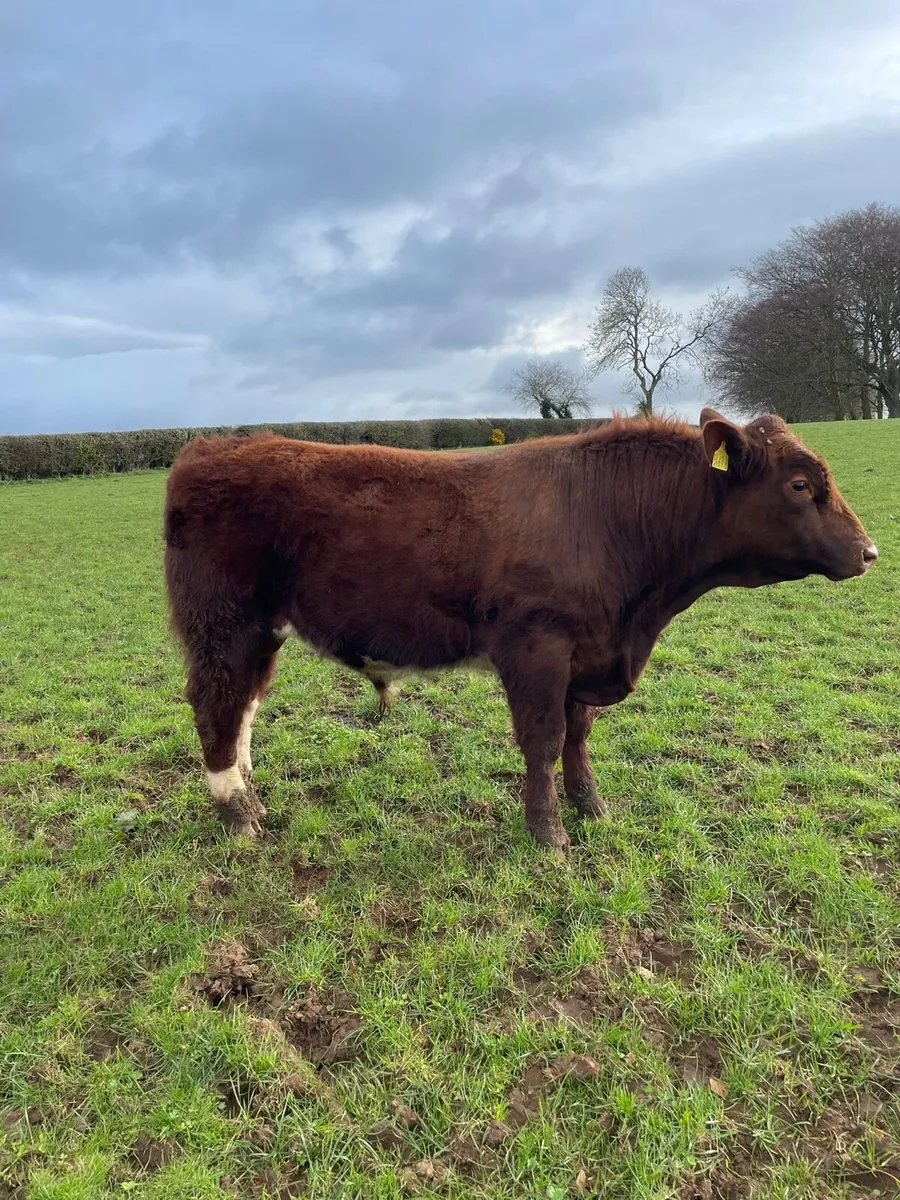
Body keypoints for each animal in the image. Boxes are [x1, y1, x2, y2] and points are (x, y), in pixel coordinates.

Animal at [163, 409, 877, 851]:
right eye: (799, 484)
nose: (869, 552)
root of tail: (215, 447)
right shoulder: (538, 647)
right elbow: (543, 739)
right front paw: (550, 834)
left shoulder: (588, 653)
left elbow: (578, 736)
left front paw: (592, 808)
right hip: (225, 624)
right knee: (217, 706)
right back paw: (239, 816)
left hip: (262, 633)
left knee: (244, 708)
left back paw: (253, 799)